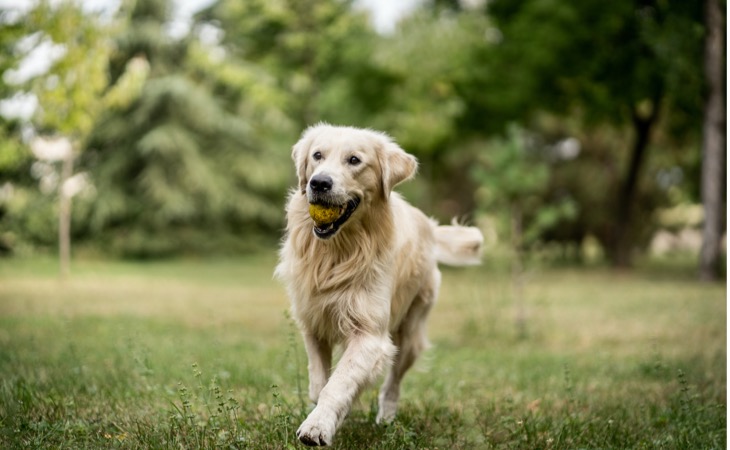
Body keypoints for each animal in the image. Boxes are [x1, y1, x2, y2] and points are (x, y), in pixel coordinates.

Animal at [274, 124, 484, 446]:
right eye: (317, 155)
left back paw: (386, 417)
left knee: (393, 382)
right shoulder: (313, 323)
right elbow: (320, 382)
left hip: (409, 333)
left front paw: (317, 426)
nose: (318, 182)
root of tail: (429, 225)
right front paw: (327, 415)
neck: (339, 252)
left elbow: (338, 383)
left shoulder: (370, 335)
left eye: (354, 160)